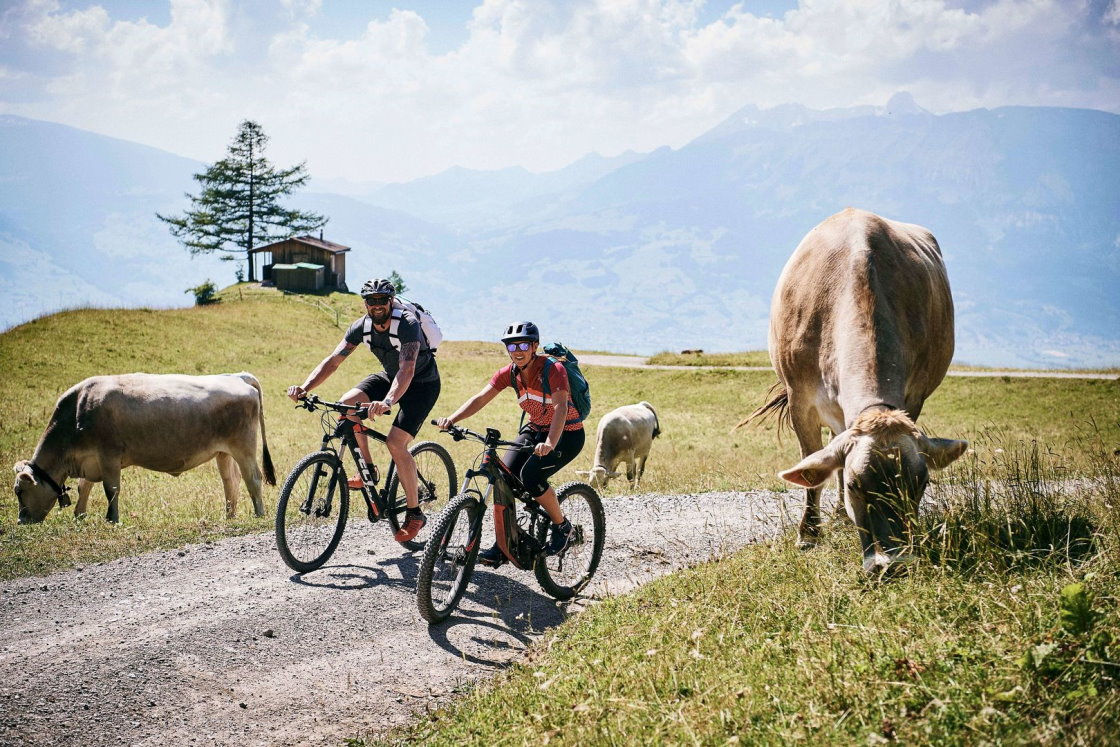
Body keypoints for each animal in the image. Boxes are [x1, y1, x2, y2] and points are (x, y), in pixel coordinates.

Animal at [14, 371, 275, 524]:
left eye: (19, 491)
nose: (21, 520)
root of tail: (236, 375)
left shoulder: (108, 454)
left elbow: (111, 489)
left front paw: (112, 520)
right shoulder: (90, 460)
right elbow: (84, 487)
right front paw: (80, 516)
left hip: (243, 446)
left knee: (253, 478)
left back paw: (259, 514)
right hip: (223, 452)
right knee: (231, 482)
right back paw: (229, 516)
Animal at [743, 210, 972, 577]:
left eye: (920, 483)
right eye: (855, 485)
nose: (894, 564)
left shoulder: (914, 398)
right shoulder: (800, 401)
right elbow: (814, 470)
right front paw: (808, 535)